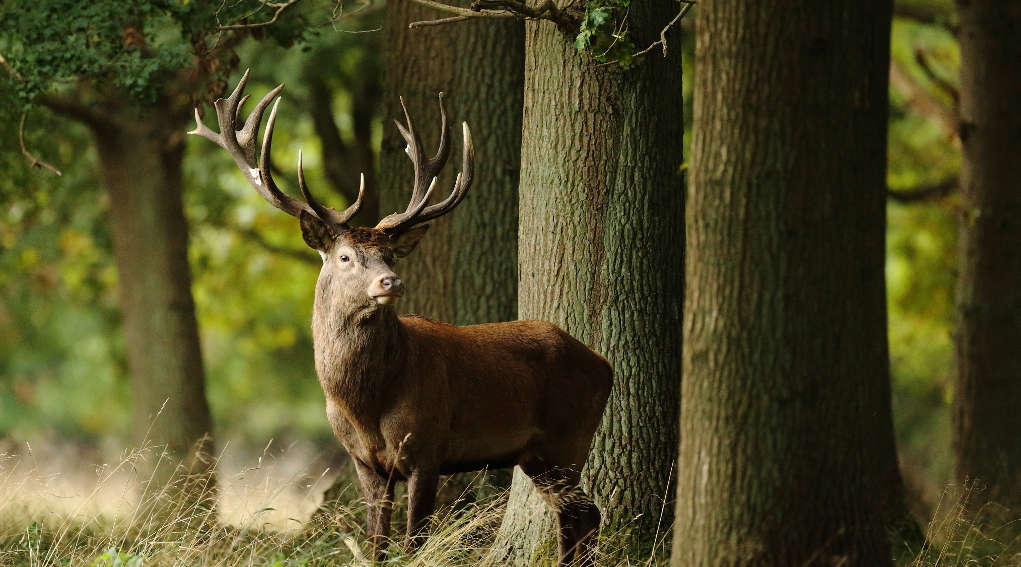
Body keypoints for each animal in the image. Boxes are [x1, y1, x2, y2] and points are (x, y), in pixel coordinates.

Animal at [190, 71, 613, 567]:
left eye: (390, 254)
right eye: (346, 256)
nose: (391, 281)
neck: (363, 404)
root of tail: (604, 365)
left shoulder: (428, 448)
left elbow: (413, 544)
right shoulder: (364, 462)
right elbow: (377, 545)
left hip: (569, 437)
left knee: (586, 514)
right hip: (538, 455)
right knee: (577, 517)